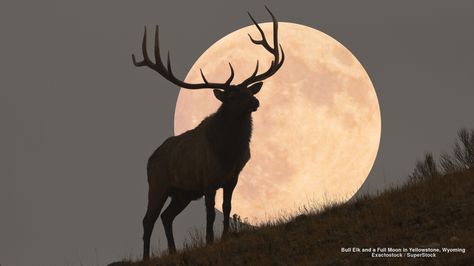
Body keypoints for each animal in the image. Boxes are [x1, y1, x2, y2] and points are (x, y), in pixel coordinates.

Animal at [131, 6, 284, 260]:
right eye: (231, 96)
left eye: (248, 91)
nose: (255, 101)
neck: (228, 152)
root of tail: (149, 159)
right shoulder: (208, 179)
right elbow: (210, 214)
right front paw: (210, 241)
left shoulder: (232, 177)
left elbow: (227, 208)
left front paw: (224, 236)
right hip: (157, 184)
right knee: (147, 220)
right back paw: (145, 257)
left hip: (182, 193)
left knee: (166, 216)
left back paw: (173, 250)